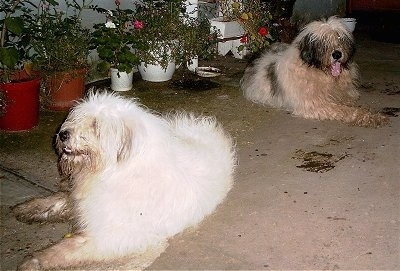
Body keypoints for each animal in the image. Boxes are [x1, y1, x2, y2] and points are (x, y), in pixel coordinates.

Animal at [14, 92, 236, 270]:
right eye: (78, 118)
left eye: (96, 125)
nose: (62, 134)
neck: (112, 170)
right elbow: (59, 200)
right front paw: (28, 209)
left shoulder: (113, 235)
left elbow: (67, 248)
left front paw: (34, 262)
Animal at [241, 15, 388, 127]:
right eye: (323, 41)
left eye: (339, 38)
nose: (337, 54)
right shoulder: (315, 104)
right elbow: (344, 110)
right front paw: (369, 117)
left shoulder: (344, 95)